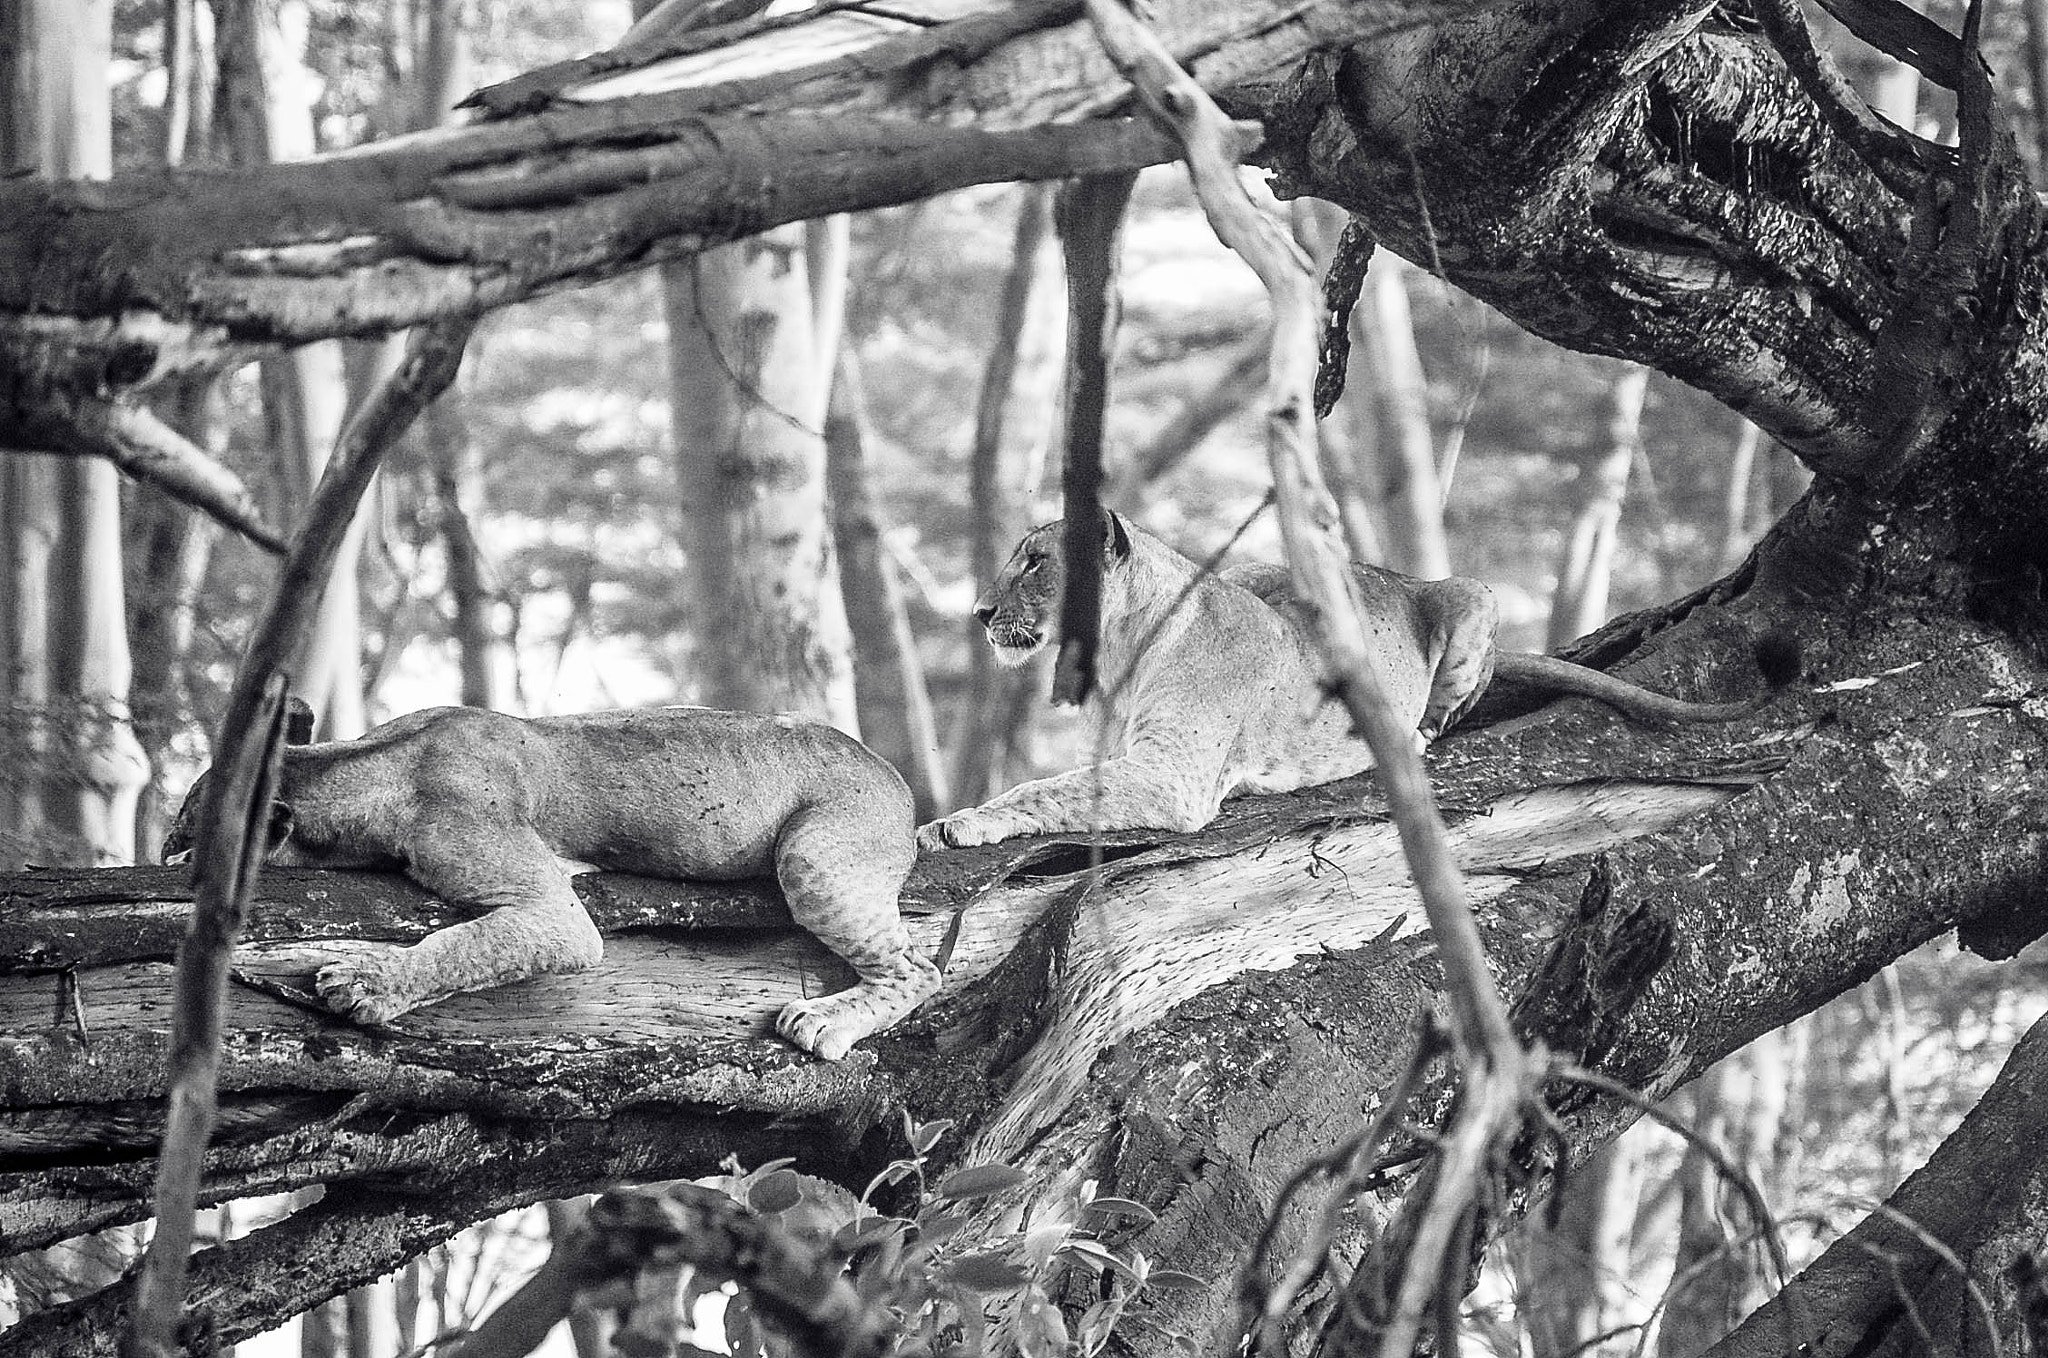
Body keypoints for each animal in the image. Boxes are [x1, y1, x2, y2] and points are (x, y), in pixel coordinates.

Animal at [165, 701, 940, 1061]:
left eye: (183, 837)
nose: (167, 860)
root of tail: (892, 773)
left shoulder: (548, 907)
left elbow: (468, 947)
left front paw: (363, 985)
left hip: (817, 853)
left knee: (920, 969)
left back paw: (825, 1021)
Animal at [917, 513, 1793, 850]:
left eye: (1036, 560)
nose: (978, 610)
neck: (1120, 651)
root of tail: (1401, 579)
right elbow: (1053, 784)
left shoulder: (1172, 778)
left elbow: (1041, 789)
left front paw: (955, 824)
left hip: (1472, 593)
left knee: (1448, 706)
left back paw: (1405, 735)